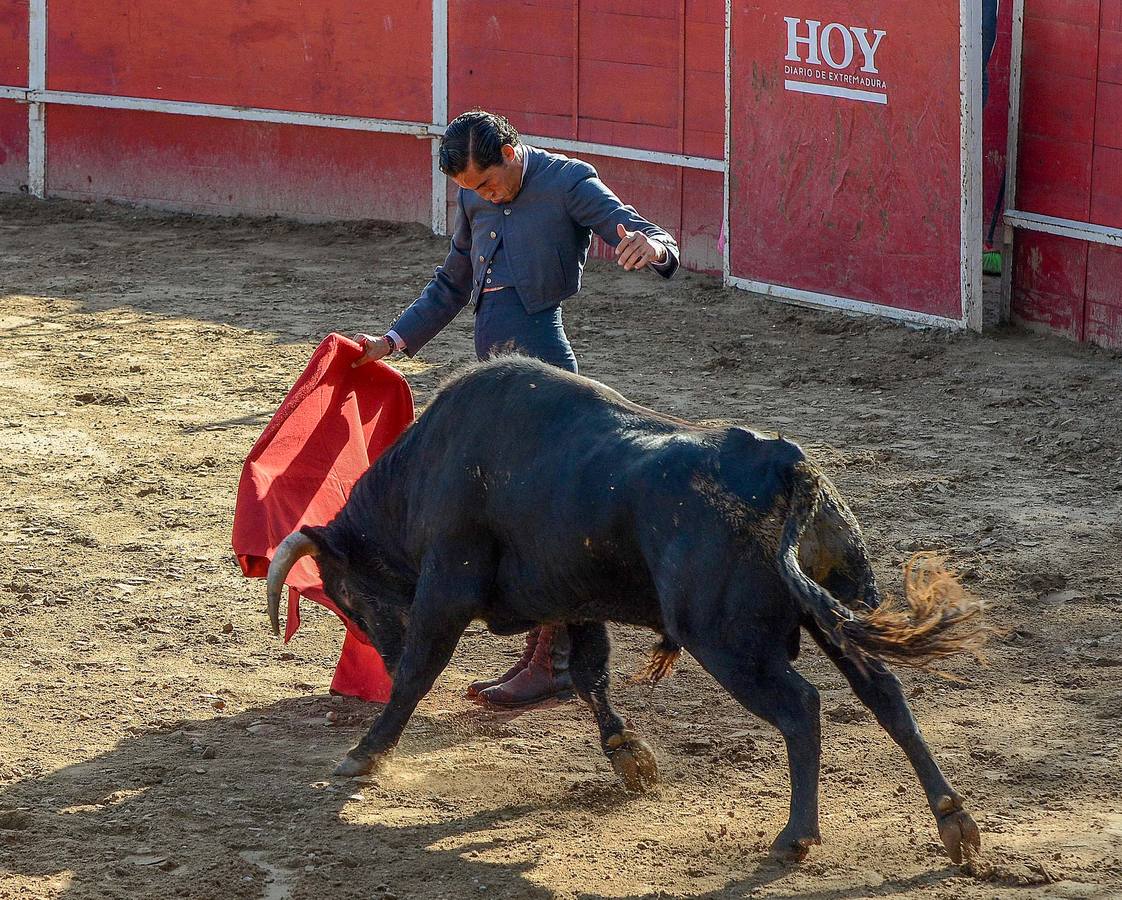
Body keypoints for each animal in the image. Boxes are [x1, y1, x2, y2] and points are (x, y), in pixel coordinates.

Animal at [267, 356, 987, 861]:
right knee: (886, 696)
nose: (379, 660)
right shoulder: (572, 596)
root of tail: (787, 468)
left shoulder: (447, 587)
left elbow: (421, 672)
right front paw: (627, 754)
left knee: (800, 708)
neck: (428, 468)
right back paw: (953, 821)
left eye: (347, 597)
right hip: (839, 616)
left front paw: (364, 752)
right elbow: (590, 673)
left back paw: (796, 836)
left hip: (728, 643)